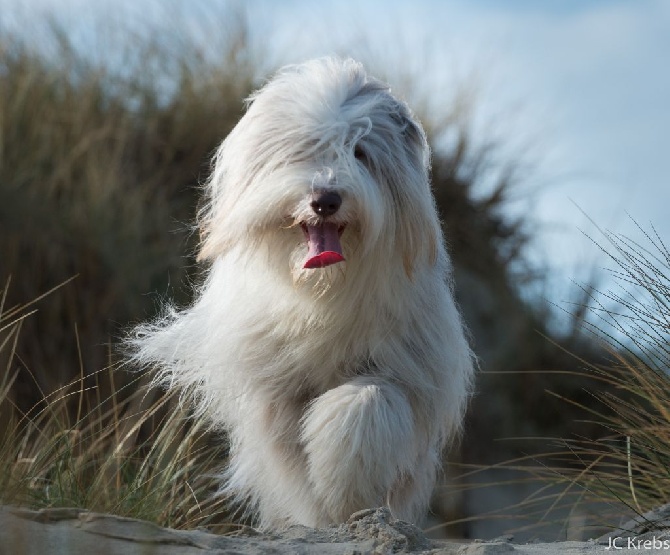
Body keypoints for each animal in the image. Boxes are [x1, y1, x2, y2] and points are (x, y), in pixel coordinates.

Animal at [130, 58, 478, 532]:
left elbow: (366, 403)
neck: (322, 293)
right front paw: (319, 516)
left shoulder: (401, 370)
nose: (325, 199)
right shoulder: (276, 393)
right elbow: (292, 465)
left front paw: (348, 500)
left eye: (360, 152)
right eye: (302, 148)